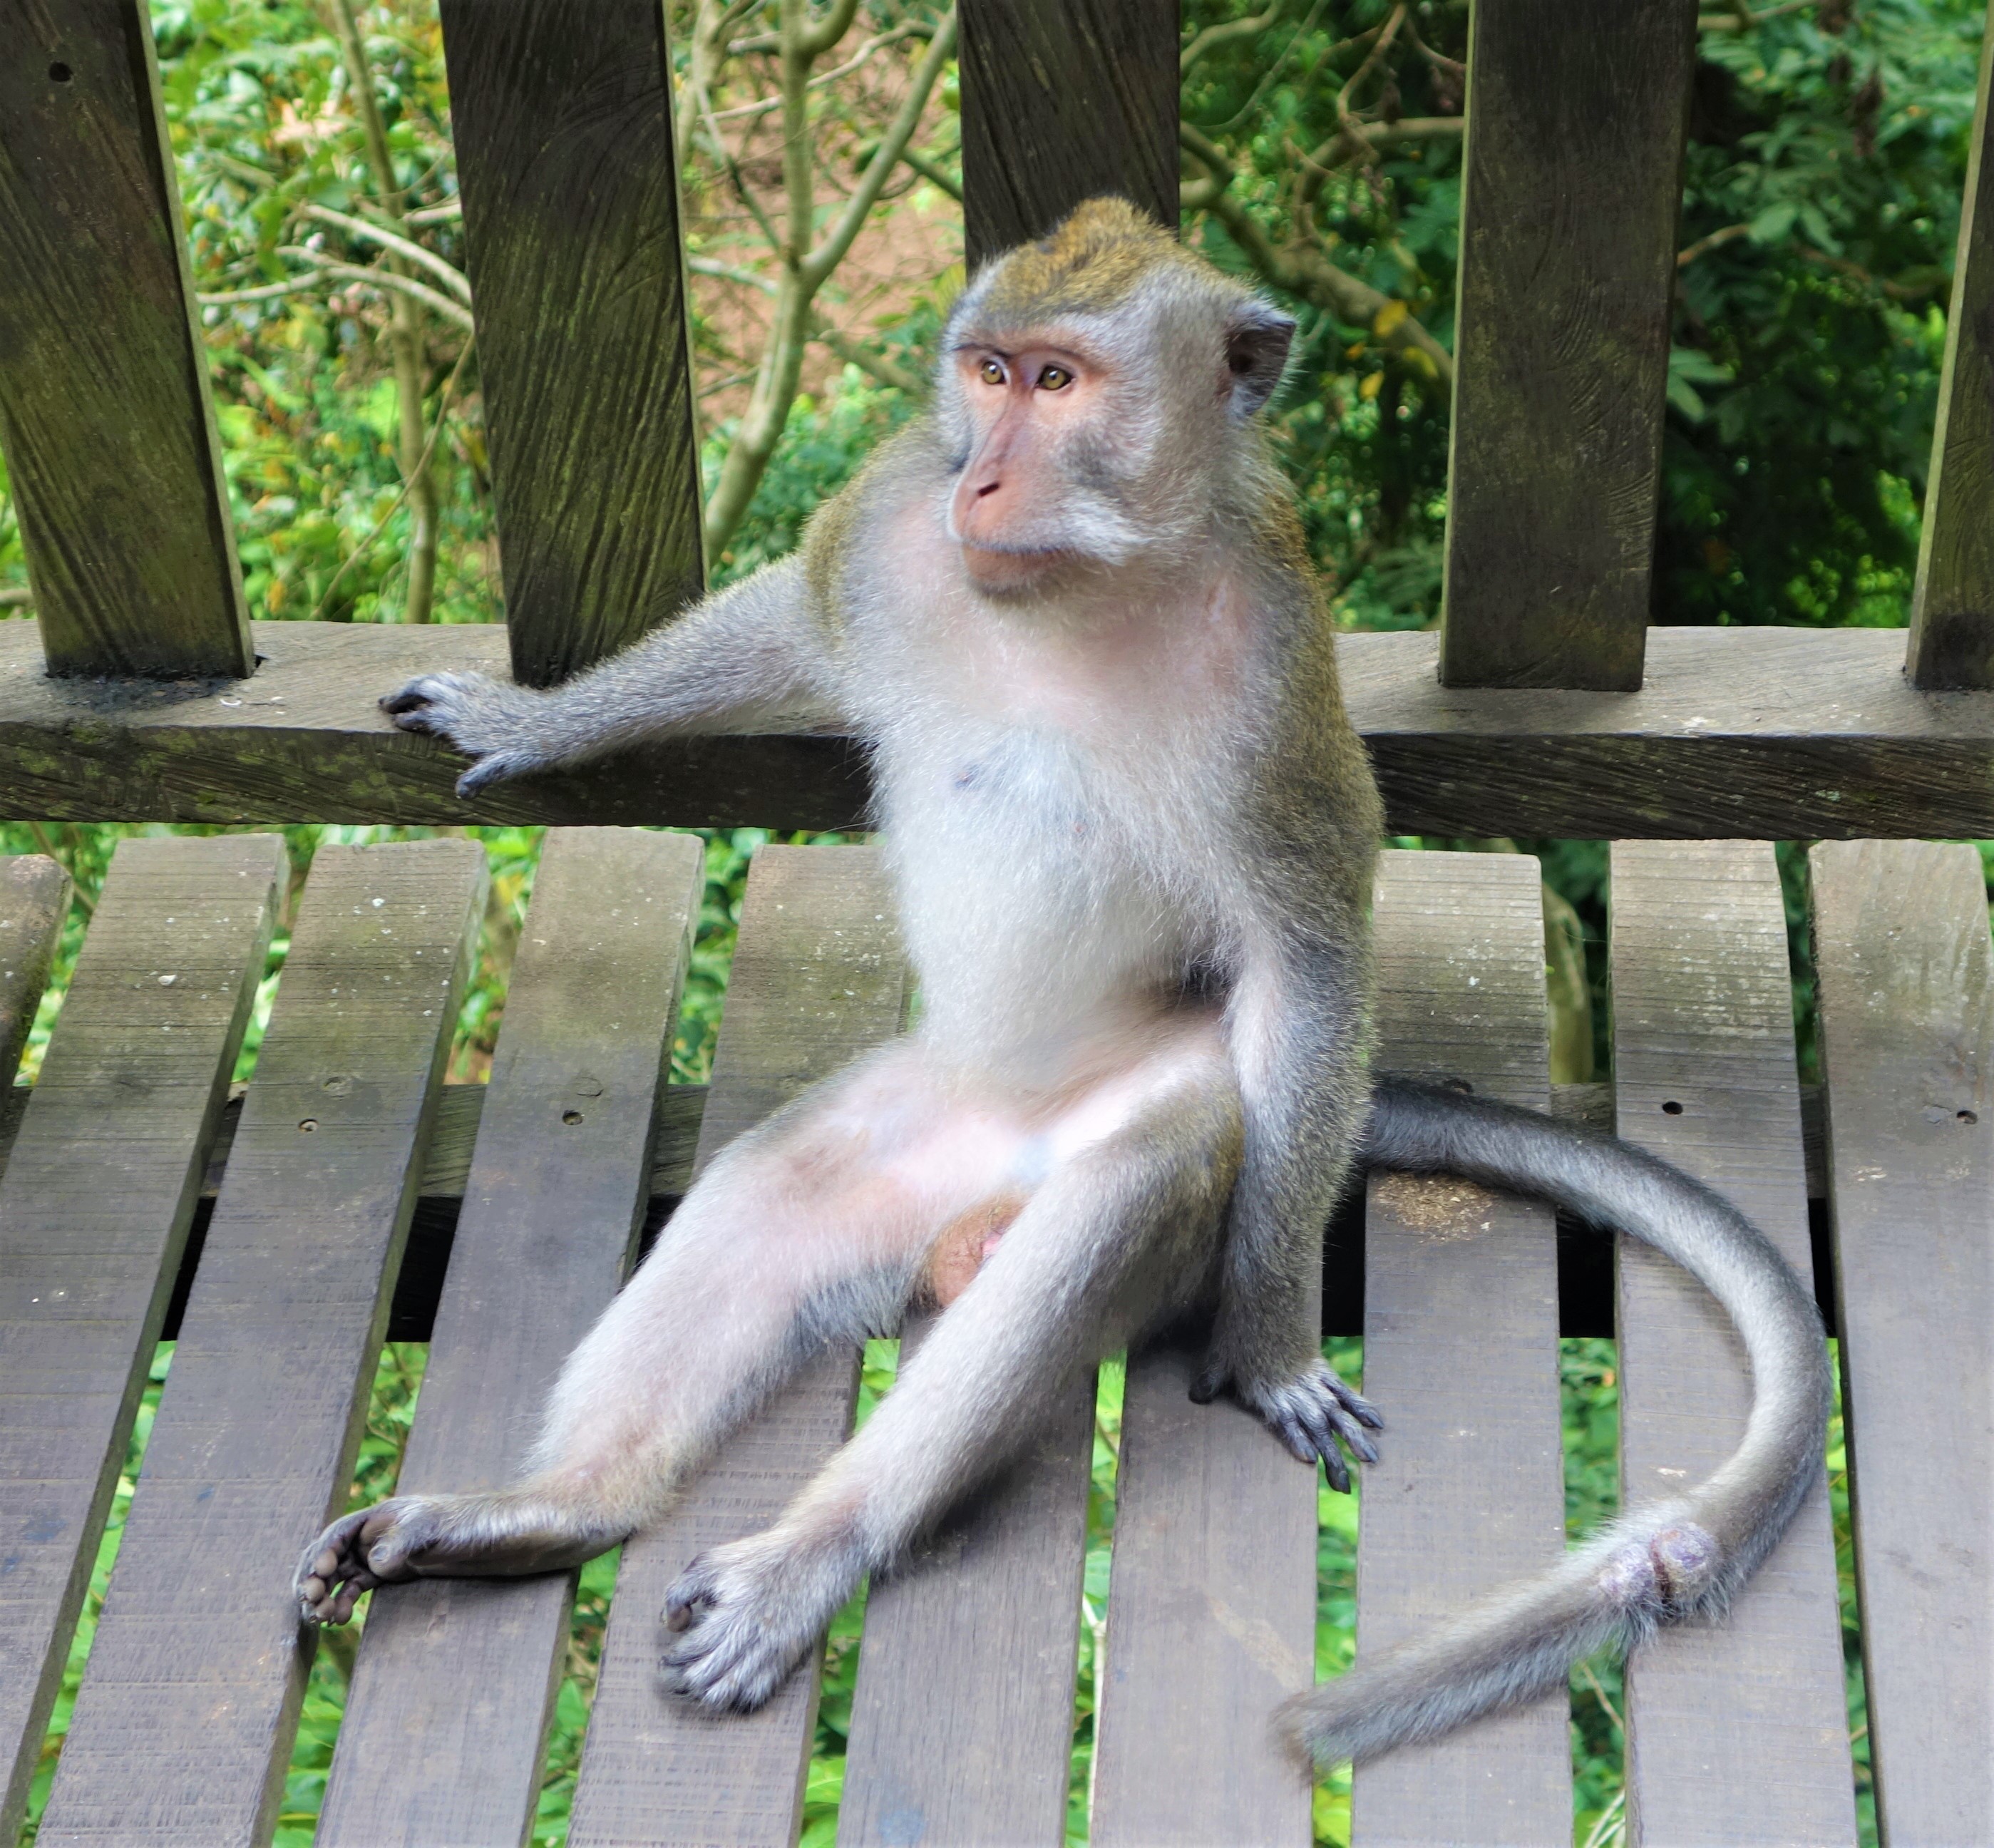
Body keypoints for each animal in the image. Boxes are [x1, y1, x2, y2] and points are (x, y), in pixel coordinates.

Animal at [296, 197, 1831, 1773]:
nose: (980, 474)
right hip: (911, 1132)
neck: (1077, 584)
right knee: (772, 1194)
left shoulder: (1279, 662)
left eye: (1058, 383)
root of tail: (991, 1170)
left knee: (1140, 1178)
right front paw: (539, 717)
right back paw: (553, 1508)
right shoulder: (892, 524)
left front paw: (1269, 1344)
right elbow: (793, 614)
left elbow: (1303, 955)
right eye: (985, 371)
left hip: (1182, 1096)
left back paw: (810, 1554)